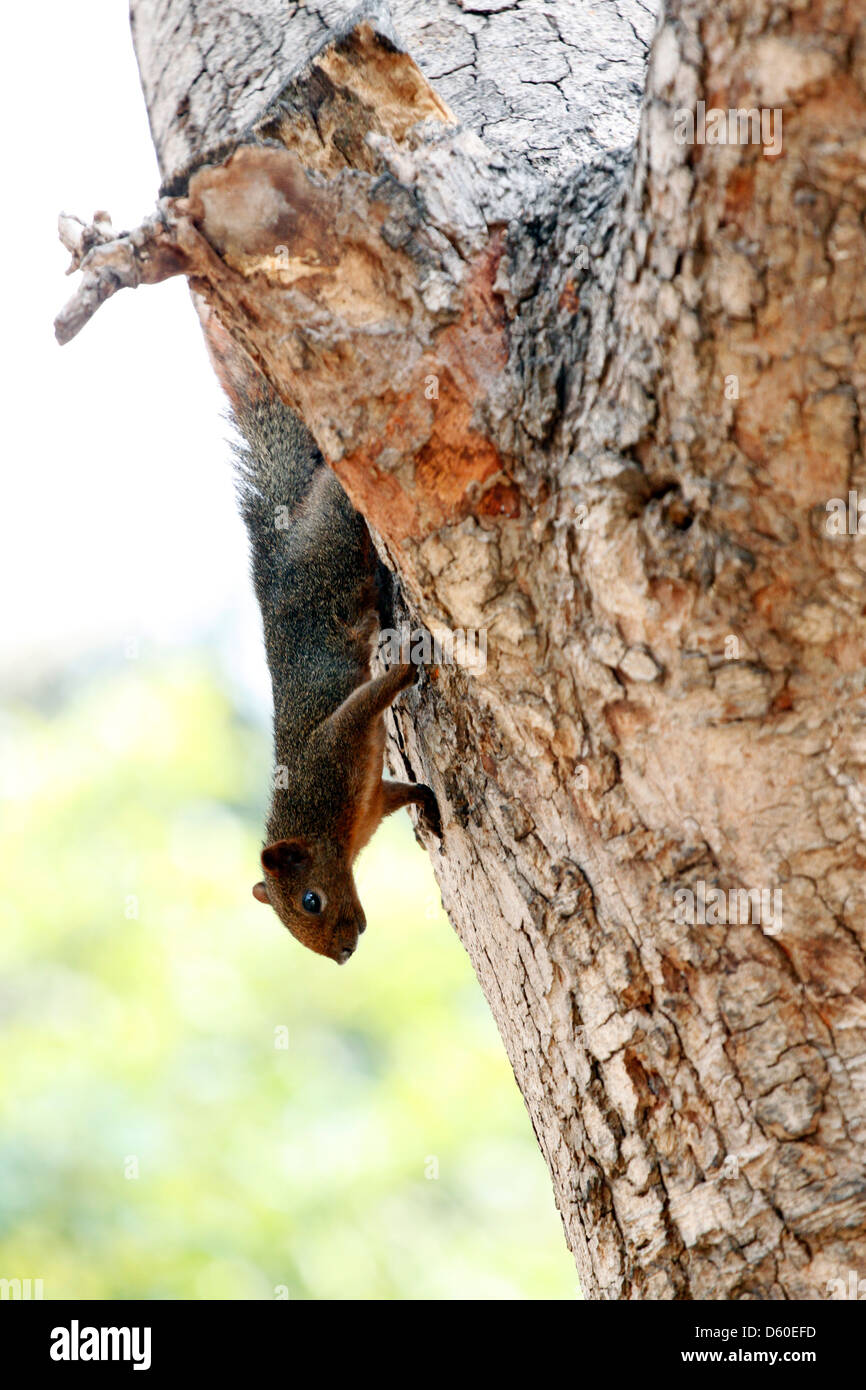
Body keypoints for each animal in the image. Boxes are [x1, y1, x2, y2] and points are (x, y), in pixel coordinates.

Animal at [197, 304, 439, 961]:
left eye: (310, 899)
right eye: (292, 925)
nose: (344, 953)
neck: (333, 830)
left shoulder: (334, 746)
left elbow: (365, 702)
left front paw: (408, 668)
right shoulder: (373, 799)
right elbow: (402, 793)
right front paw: (429, 808)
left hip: (331, 538)